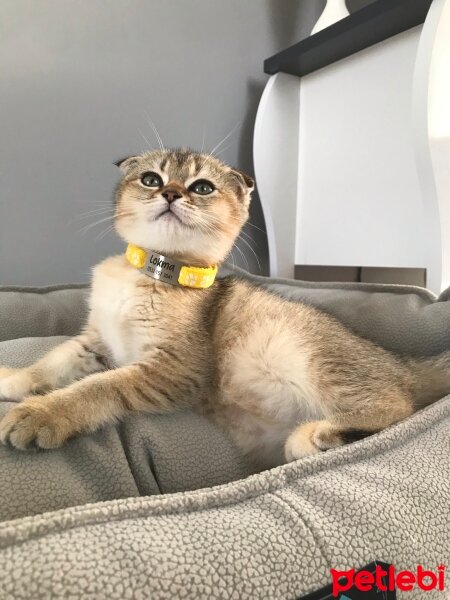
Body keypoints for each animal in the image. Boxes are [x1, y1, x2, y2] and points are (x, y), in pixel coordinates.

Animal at [0, 149, 450, 468]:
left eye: (201, 187)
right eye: (151, 179)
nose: (171, 192)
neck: (151, 274)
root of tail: (400, 362)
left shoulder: (172, 369)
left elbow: (98, 387)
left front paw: (42, 413)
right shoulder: (96, 343)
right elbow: (52, 362)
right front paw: (15, 380)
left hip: (310, 352)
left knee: (398, 406)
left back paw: (317, 436)